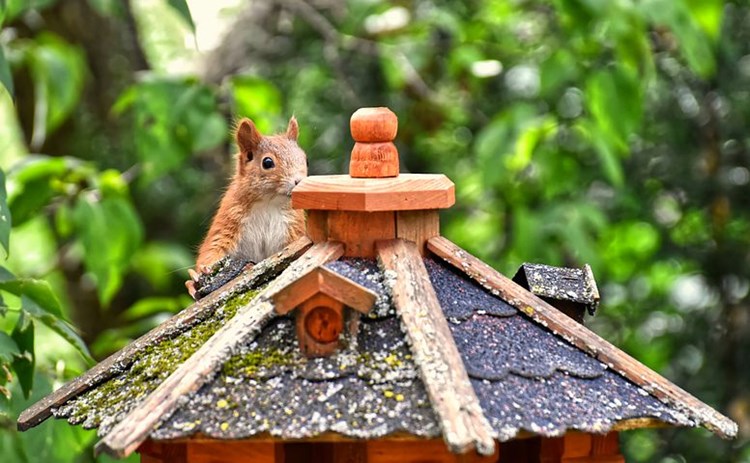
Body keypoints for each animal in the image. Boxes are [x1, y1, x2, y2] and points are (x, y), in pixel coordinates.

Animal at [188, 117, 308, 298]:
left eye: (305, 159)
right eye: (267, 162)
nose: (299, 181)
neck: (269, 203)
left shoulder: (294, 225)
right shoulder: (229, 218)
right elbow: (214, 246)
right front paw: (200, 272)